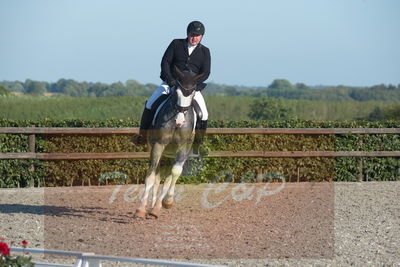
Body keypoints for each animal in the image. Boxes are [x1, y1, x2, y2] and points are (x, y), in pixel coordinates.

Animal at [134, 66, 203, 219]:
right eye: (176, 92)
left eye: (192, 93)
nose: (179, 121)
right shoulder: (158, 145)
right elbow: (151, 176)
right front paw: (140, 210)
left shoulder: (183, 148)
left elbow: (175, 173)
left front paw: (168, 202)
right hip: (157, 149)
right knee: (157, 175)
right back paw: (151, 207)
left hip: (171, 154)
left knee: (168, 177)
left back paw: (156, 208)